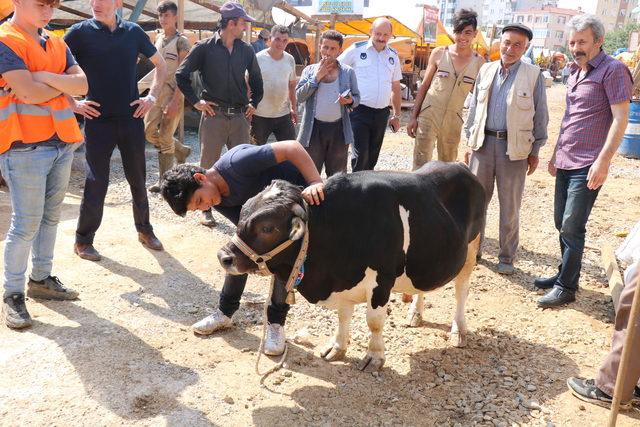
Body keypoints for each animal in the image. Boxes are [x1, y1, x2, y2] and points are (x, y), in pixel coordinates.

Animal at [218, 162, 482, 372]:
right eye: (243, 212)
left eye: (267, 228)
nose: (224, 256)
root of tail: (459, 165)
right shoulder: (342, 283)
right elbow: (343, 316)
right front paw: (337, 348)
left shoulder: (381, 280)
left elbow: (374, 321)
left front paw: (374, 357)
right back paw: (415, 315)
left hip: (470, 250)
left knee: (462, 291)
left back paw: (459, 330)